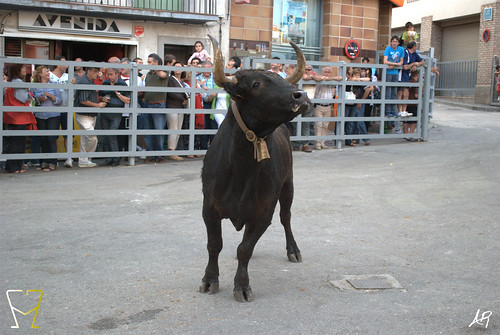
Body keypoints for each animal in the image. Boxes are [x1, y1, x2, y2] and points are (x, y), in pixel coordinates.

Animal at [200, 35, 310, 304]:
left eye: (282, 79)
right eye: (257, 83)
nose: (301, 96)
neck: (241, 170)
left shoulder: (263, 212)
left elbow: (245, 249)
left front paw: (241, 285)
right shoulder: (209, 209)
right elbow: (214, 245)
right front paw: (209, 280)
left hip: (288, 186)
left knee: (286, 218)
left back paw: (294, 250)